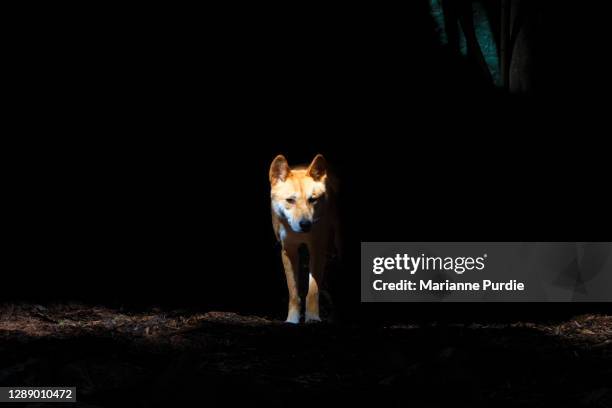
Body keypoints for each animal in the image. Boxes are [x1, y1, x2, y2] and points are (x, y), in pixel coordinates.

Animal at [268, 155, 340, 324]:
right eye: (290, 200)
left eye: (312, 200)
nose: (305, 224)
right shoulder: (289, 251)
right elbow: (294, 293)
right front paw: (292, 320)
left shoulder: (317, 249)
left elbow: (312, 291)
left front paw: (312, 318)